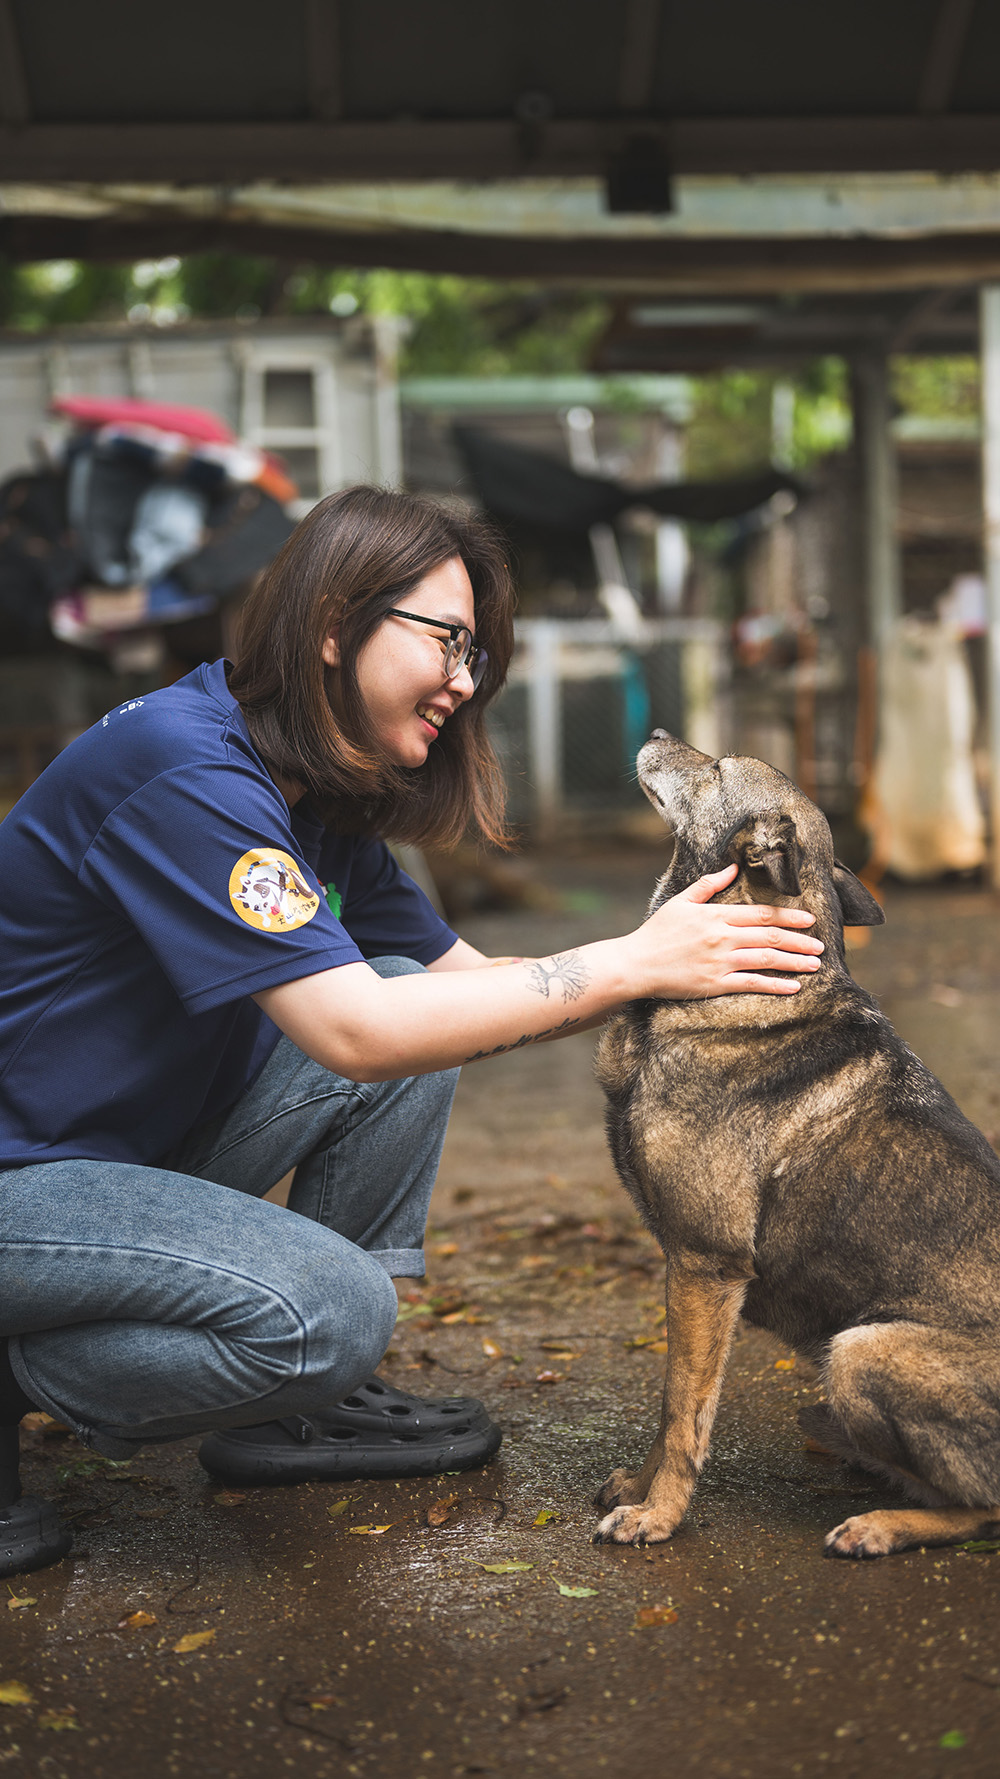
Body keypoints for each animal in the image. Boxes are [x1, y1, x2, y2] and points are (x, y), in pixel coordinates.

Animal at [590, 729, 996, 1551]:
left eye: (716, 766)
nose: (656, 736)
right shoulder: (692, 1269)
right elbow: (670, 1407)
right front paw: (641, 1491)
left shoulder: (706, 1266)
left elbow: (683, 1411)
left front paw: (658, 1515)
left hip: (861, 1349)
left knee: (985, 1504)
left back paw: (881, 1524)